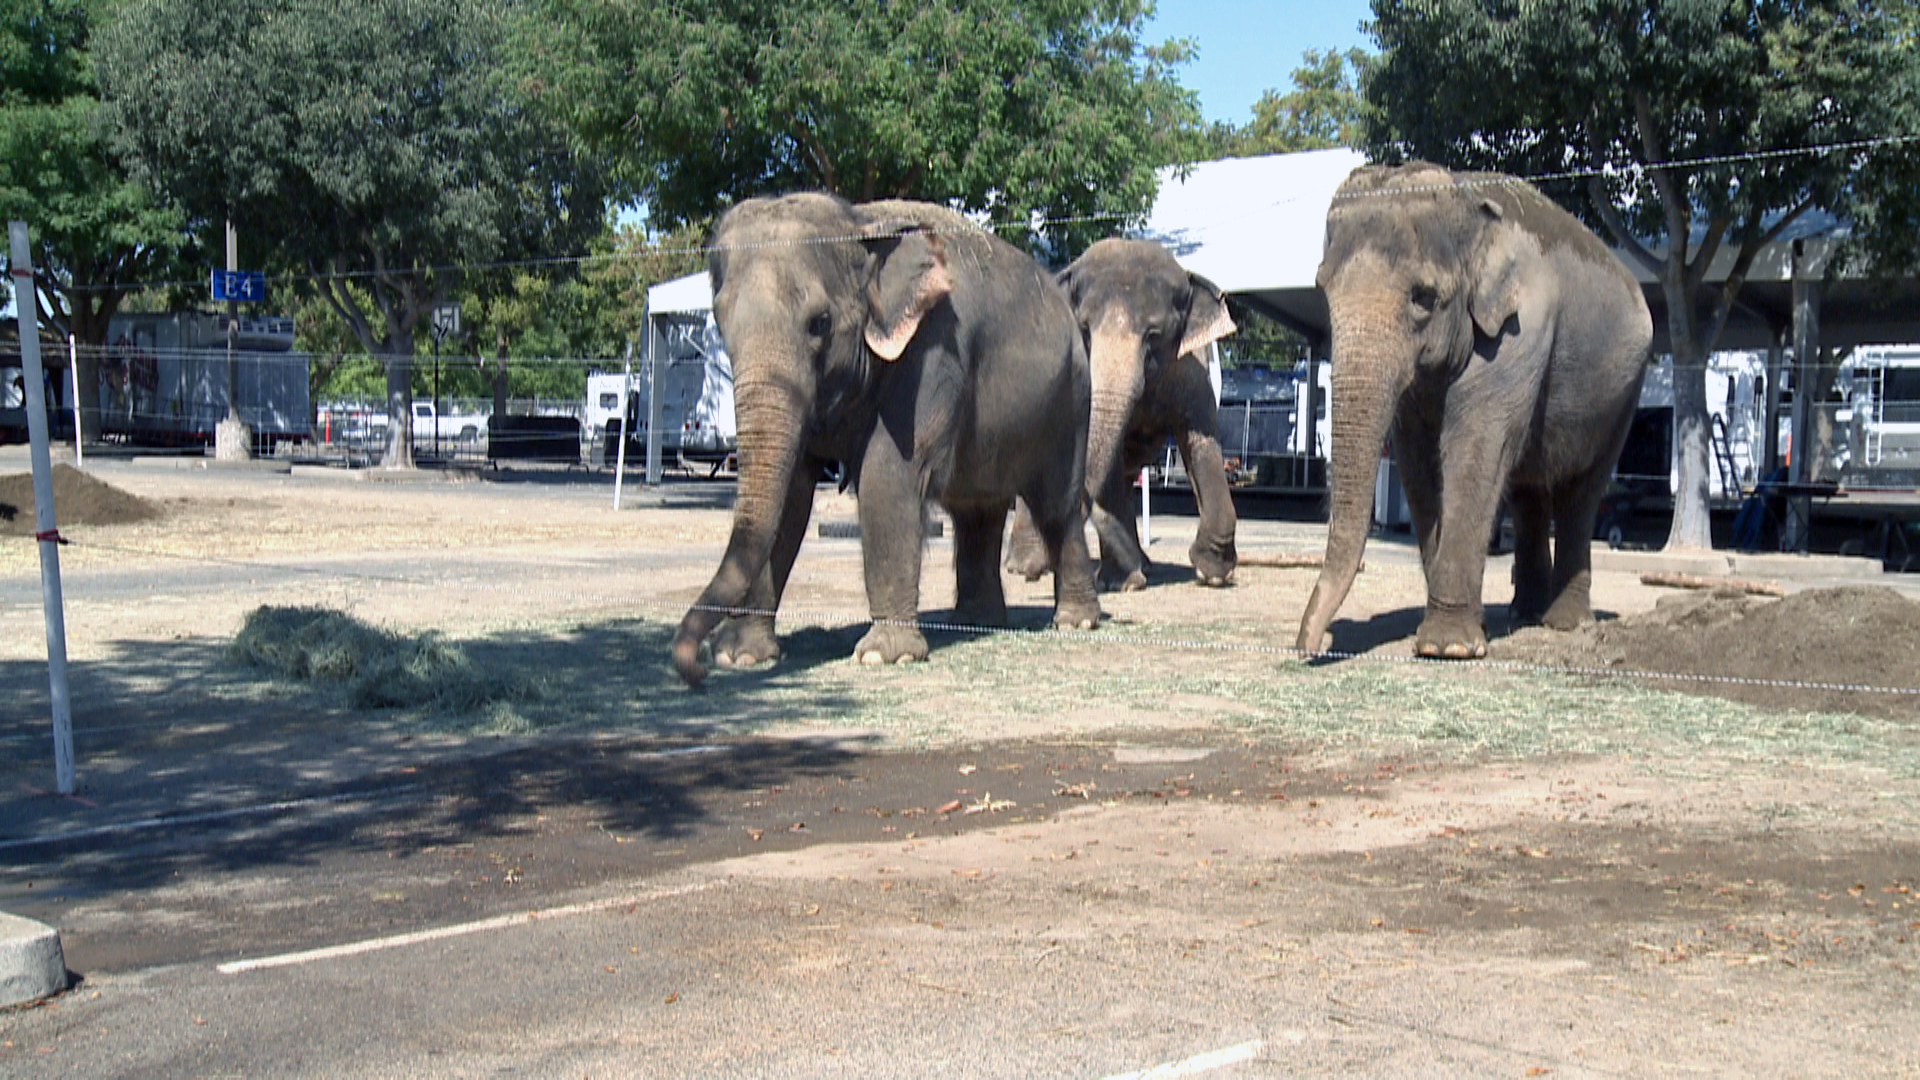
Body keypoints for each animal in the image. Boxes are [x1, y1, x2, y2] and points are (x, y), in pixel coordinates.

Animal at [670, 193, 1102, 687]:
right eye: (720, 323)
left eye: (820, 322)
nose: (695, 668)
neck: (861, 224)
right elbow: (792, 496)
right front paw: (741, 656)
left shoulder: (933, 349)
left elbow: (888, 474)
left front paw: (883, 656)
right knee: (977, 509)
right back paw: (975, 622)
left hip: (1071, 398)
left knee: (1056, 503)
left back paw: (1074, 622)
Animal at [1005, 239, 1240, 591]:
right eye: (1085, 330)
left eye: (1153, 335)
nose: (1039, 569)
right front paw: (1122, 582)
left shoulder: (1191, 368)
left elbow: (1202, 441)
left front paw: (1213, 572)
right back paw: (1023, 566)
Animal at [1296, 163, 1652, 660]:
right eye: (1322, 289)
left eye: (1423, 297)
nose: (1307, 645)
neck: (1467, 199)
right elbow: (1418, 462)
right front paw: (1463, 631)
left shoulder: (1518, 334)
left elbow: (1473, 449)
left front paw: (1447, 647)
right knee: (1528, 491)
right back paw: (1524, 613)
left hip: (1625, 391)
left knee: (1584, 491)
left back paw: (1565, 622)